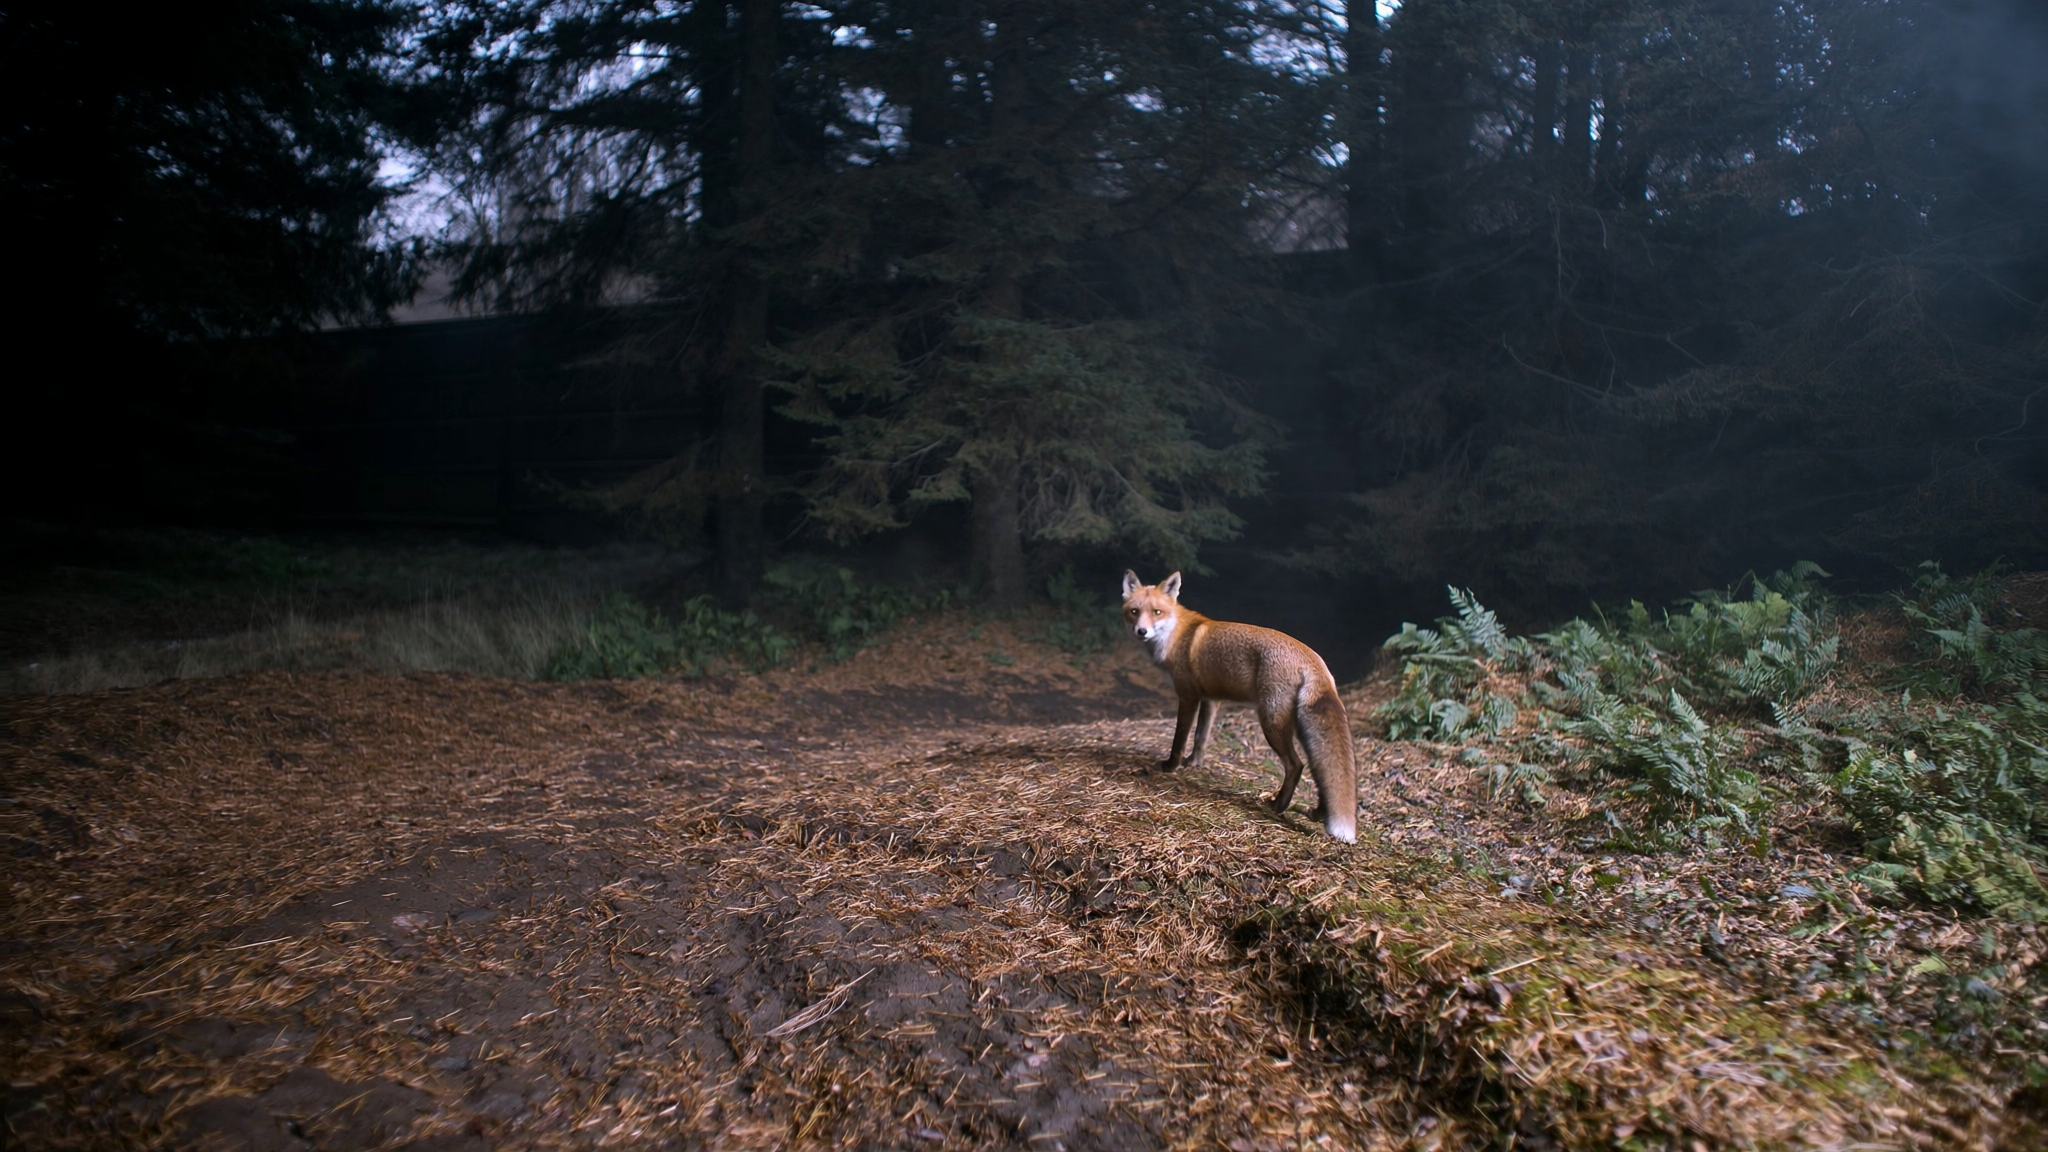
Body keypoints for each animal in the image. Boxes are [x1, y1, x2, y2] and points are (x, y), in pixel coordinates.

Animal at [1120, 570, 1358, 844]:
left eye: (1157, 612)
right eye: (1135, 611)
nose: (1142, 631)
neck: (1178, 633)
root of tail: (1315, 660)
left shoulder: (1188, 696)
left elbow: (1179, 738)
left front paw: (1171, 766)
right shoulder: (1211, 699)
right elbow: (1201, 737)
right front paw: (1195, 764)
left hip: (1271, 723)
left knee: (1296, 765)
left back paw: (1278, 806)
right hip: (1299, 728)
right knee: (1319, 771)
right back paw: (1317, 813)